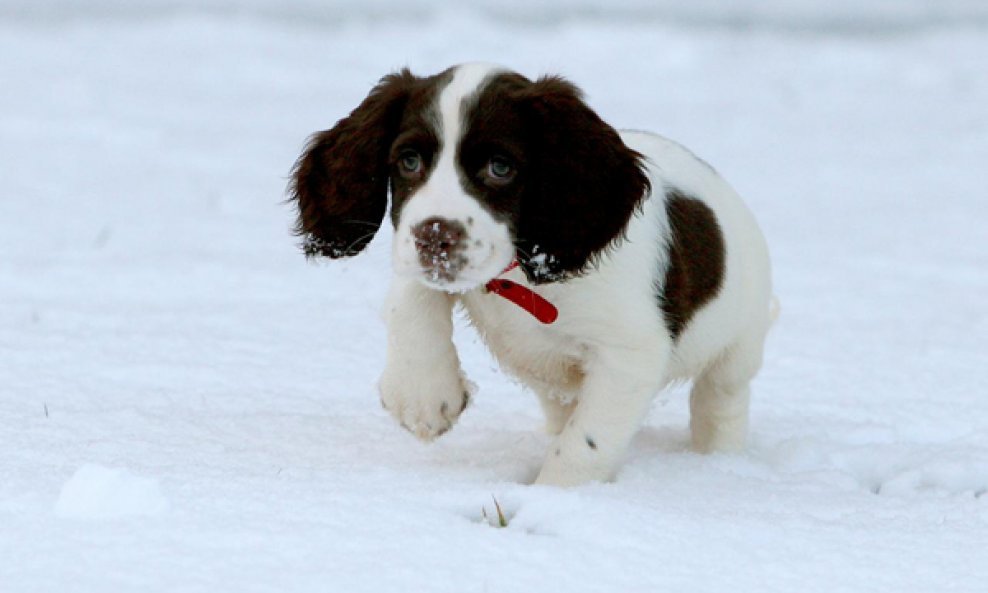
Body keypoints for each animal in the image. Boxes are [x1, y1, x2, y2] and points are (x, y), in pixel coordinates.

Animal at [290, 62, 776, 486]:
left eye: (500, 168)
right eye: (409, 162)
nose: (434, 236)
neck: (519, 277)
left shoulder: (628, 354)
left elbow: (586, 443)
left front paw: (555, 496)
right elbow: (410, 297)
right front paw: (423, 396)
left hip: (738, 344)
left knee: (720, 401)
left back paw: (717, 462)